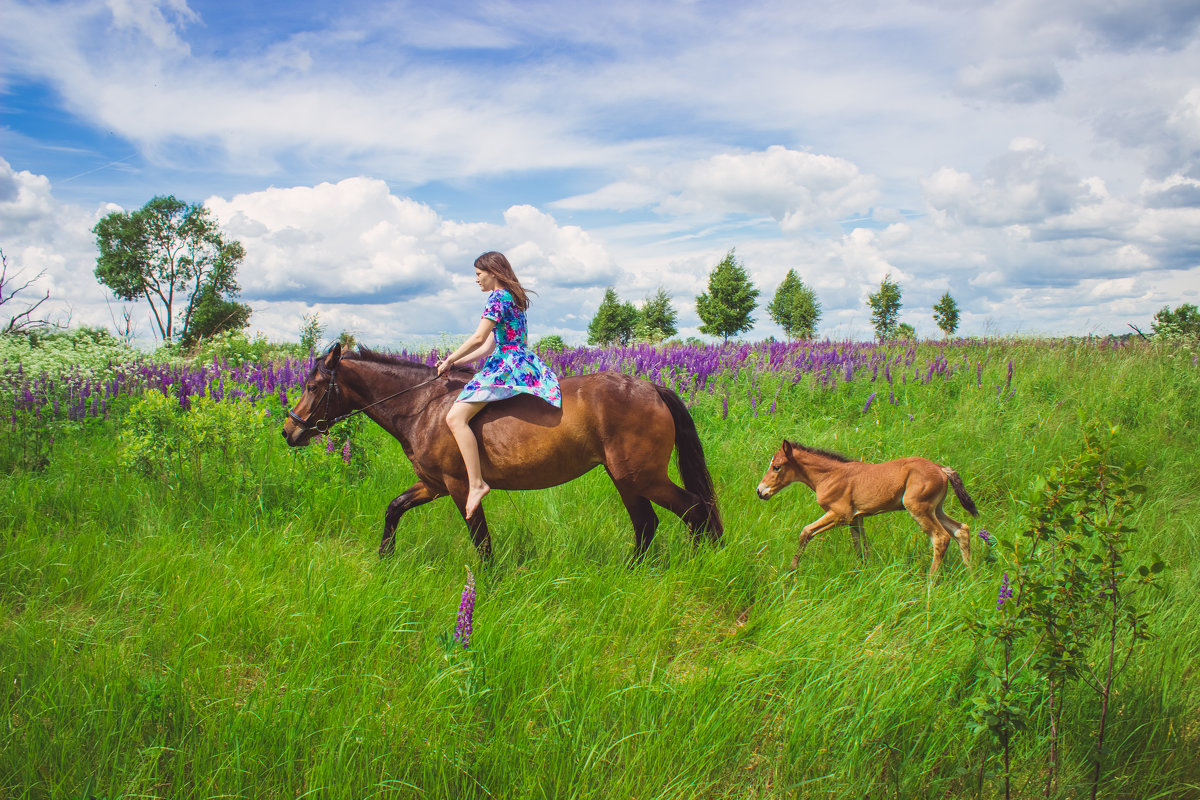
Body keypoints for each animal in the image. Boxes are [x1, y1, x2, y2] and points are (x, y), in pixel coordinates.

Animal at [280, 343, 720, 556]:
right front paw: (384, 559)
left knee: (694, 509)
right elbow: (393, 509)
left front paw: (488, 585)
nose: (289, 430)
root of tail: (651, 388)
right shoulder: (433, 485)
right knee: (647, 525)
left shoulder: (460, 486)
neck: (424, 407)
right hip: (626, 479)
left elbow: (481, 538)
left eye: (314, 386)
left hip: (642, 477)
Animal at [753, 441, 979, 578]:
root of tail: (942, 469)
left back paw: (931, 582)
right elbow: (861, 546)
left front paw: (792, 571)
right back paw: (970, 574)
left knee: (940, 538)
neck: (829, 475)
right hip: (936, 509)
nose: (760, 491)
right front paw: (863, 571)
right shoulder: (856, 518)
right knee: (961, 530)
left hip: (918, 509)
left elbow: (806, 532)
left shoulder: (840, 515)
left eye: (777, 467)